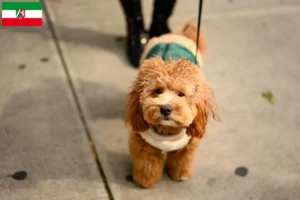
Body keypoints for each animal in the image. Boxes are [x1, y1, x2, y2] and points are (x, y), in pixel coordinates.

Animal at [125, 21, 219, 188]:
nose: (165, 108)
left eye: (181, 94)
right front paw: (145, 180)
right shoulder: (144, 144)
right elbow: (147, 163)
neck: (167, 131)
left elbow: (182, 160)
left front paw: (180, 175)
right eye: (157, 91)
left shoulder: (188, 145)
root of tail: (175, 36)